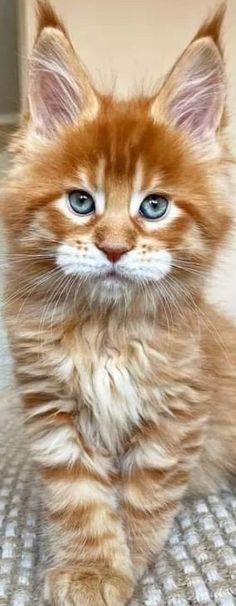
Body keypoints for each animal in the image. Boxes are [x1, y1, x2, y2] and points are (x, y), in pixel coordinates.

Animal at [0, 1, 235, 606]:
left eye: (153, 207)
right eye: (81, 201)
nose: (113, 247)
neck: (106, 331)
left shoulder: (174, 416)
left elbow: (143, 501)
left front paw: (123, 567)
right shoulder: (54, 410)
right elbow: (80, 499)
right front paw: (91, 568)